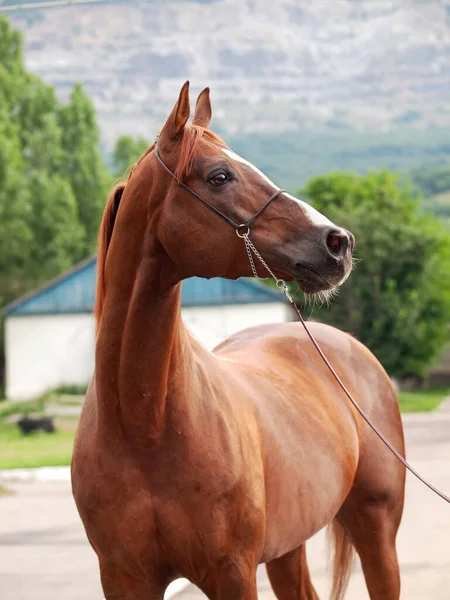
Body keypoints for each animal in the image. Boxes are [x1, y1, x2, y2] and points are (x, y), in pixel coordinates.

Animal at [72, 81, 406, 600]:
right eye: (219, 176)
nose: (339, 243)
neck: (143, 425)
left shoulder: (232, 572)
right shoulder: (124, 579)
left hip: (376, 527)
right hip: (289, 546)